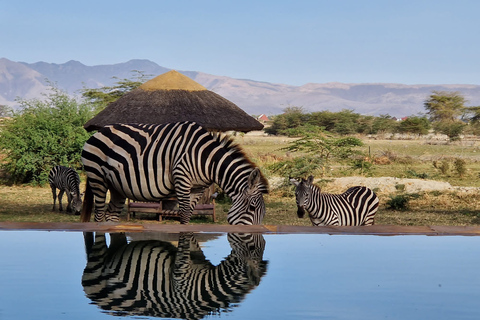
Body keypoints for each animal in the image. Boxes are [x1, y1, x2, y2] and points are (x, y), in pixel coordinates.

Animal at [80, 121, 268, 224]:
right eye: (252, 208)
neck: (207, 160)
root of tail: (97, 132)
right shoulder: (182, 179)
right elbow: (183, 214)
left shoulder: (197, 189)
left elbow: (189, 214)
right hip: (98, 178)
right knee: (99, 214)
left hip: (117, 186)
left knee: (111, 214)